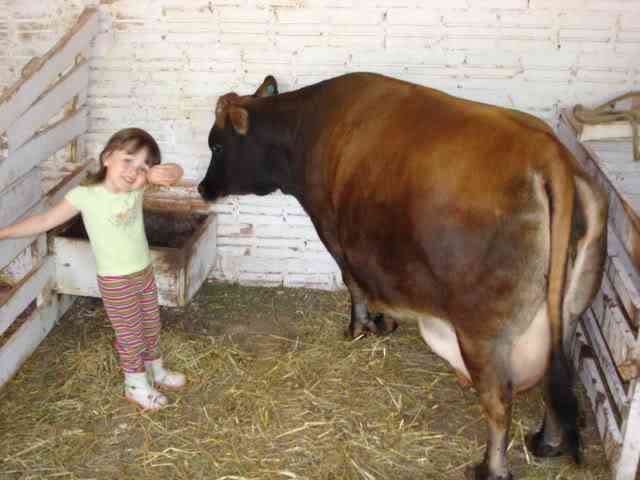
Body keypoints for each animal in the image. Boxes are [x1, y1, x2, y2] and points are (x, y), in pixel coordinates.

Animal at [198, 72, 607, 480]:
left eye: (216, 145)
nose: (203, 188)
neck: (308, 127)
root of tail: (549, 153)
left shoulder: (332, 229)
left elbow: (354, 282)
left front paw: (360, 326)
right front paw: (383, 322)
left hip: (481, 333)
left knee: (499, 403)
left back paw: (492, 468)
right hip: (568, 313)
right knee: (558, 376)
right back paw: (547, 442)